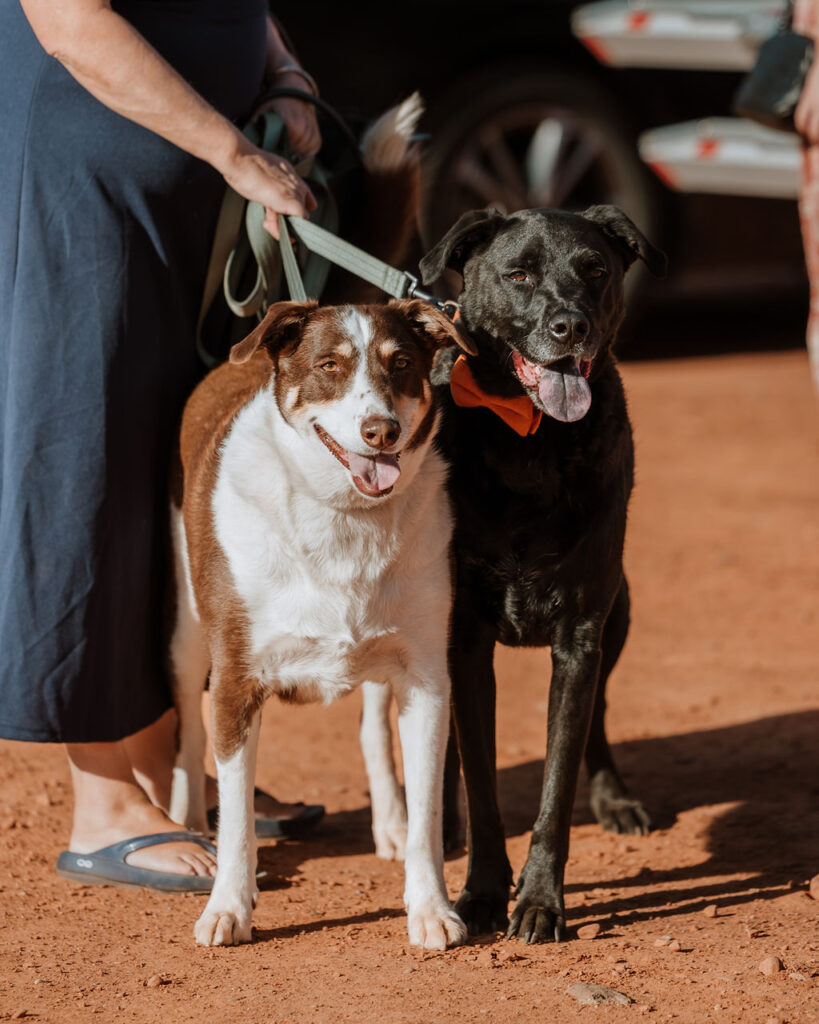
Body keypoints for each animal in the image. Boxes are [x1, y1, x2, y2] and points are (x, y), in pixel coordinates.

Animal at [165, 97, 470, 950]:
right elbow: (237, 814)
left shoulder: (428, 676)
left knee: (370, 728)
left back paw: (387, 821)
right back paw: (180, 818)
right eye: (330, 367)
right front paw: (228, 906)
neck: (340, 518)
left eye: (402, 366)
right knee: (187, 723)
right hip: (187, 624)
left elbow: (430, 813)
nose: (380, 432)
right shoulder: (237, 678)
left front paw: (429, 906)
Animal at [421, 205, 663, 942]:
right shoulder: (463, 640)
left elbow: (557, 785)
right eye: (520, 274)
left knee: (598, 721)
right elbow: (481, 779)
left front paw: (538, 902)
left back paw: (615, 799)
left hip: (620, 613)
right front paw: (479, 894)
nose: (570, 327)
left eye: (595, 270)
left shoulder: (581, 634)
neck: (532, 439)